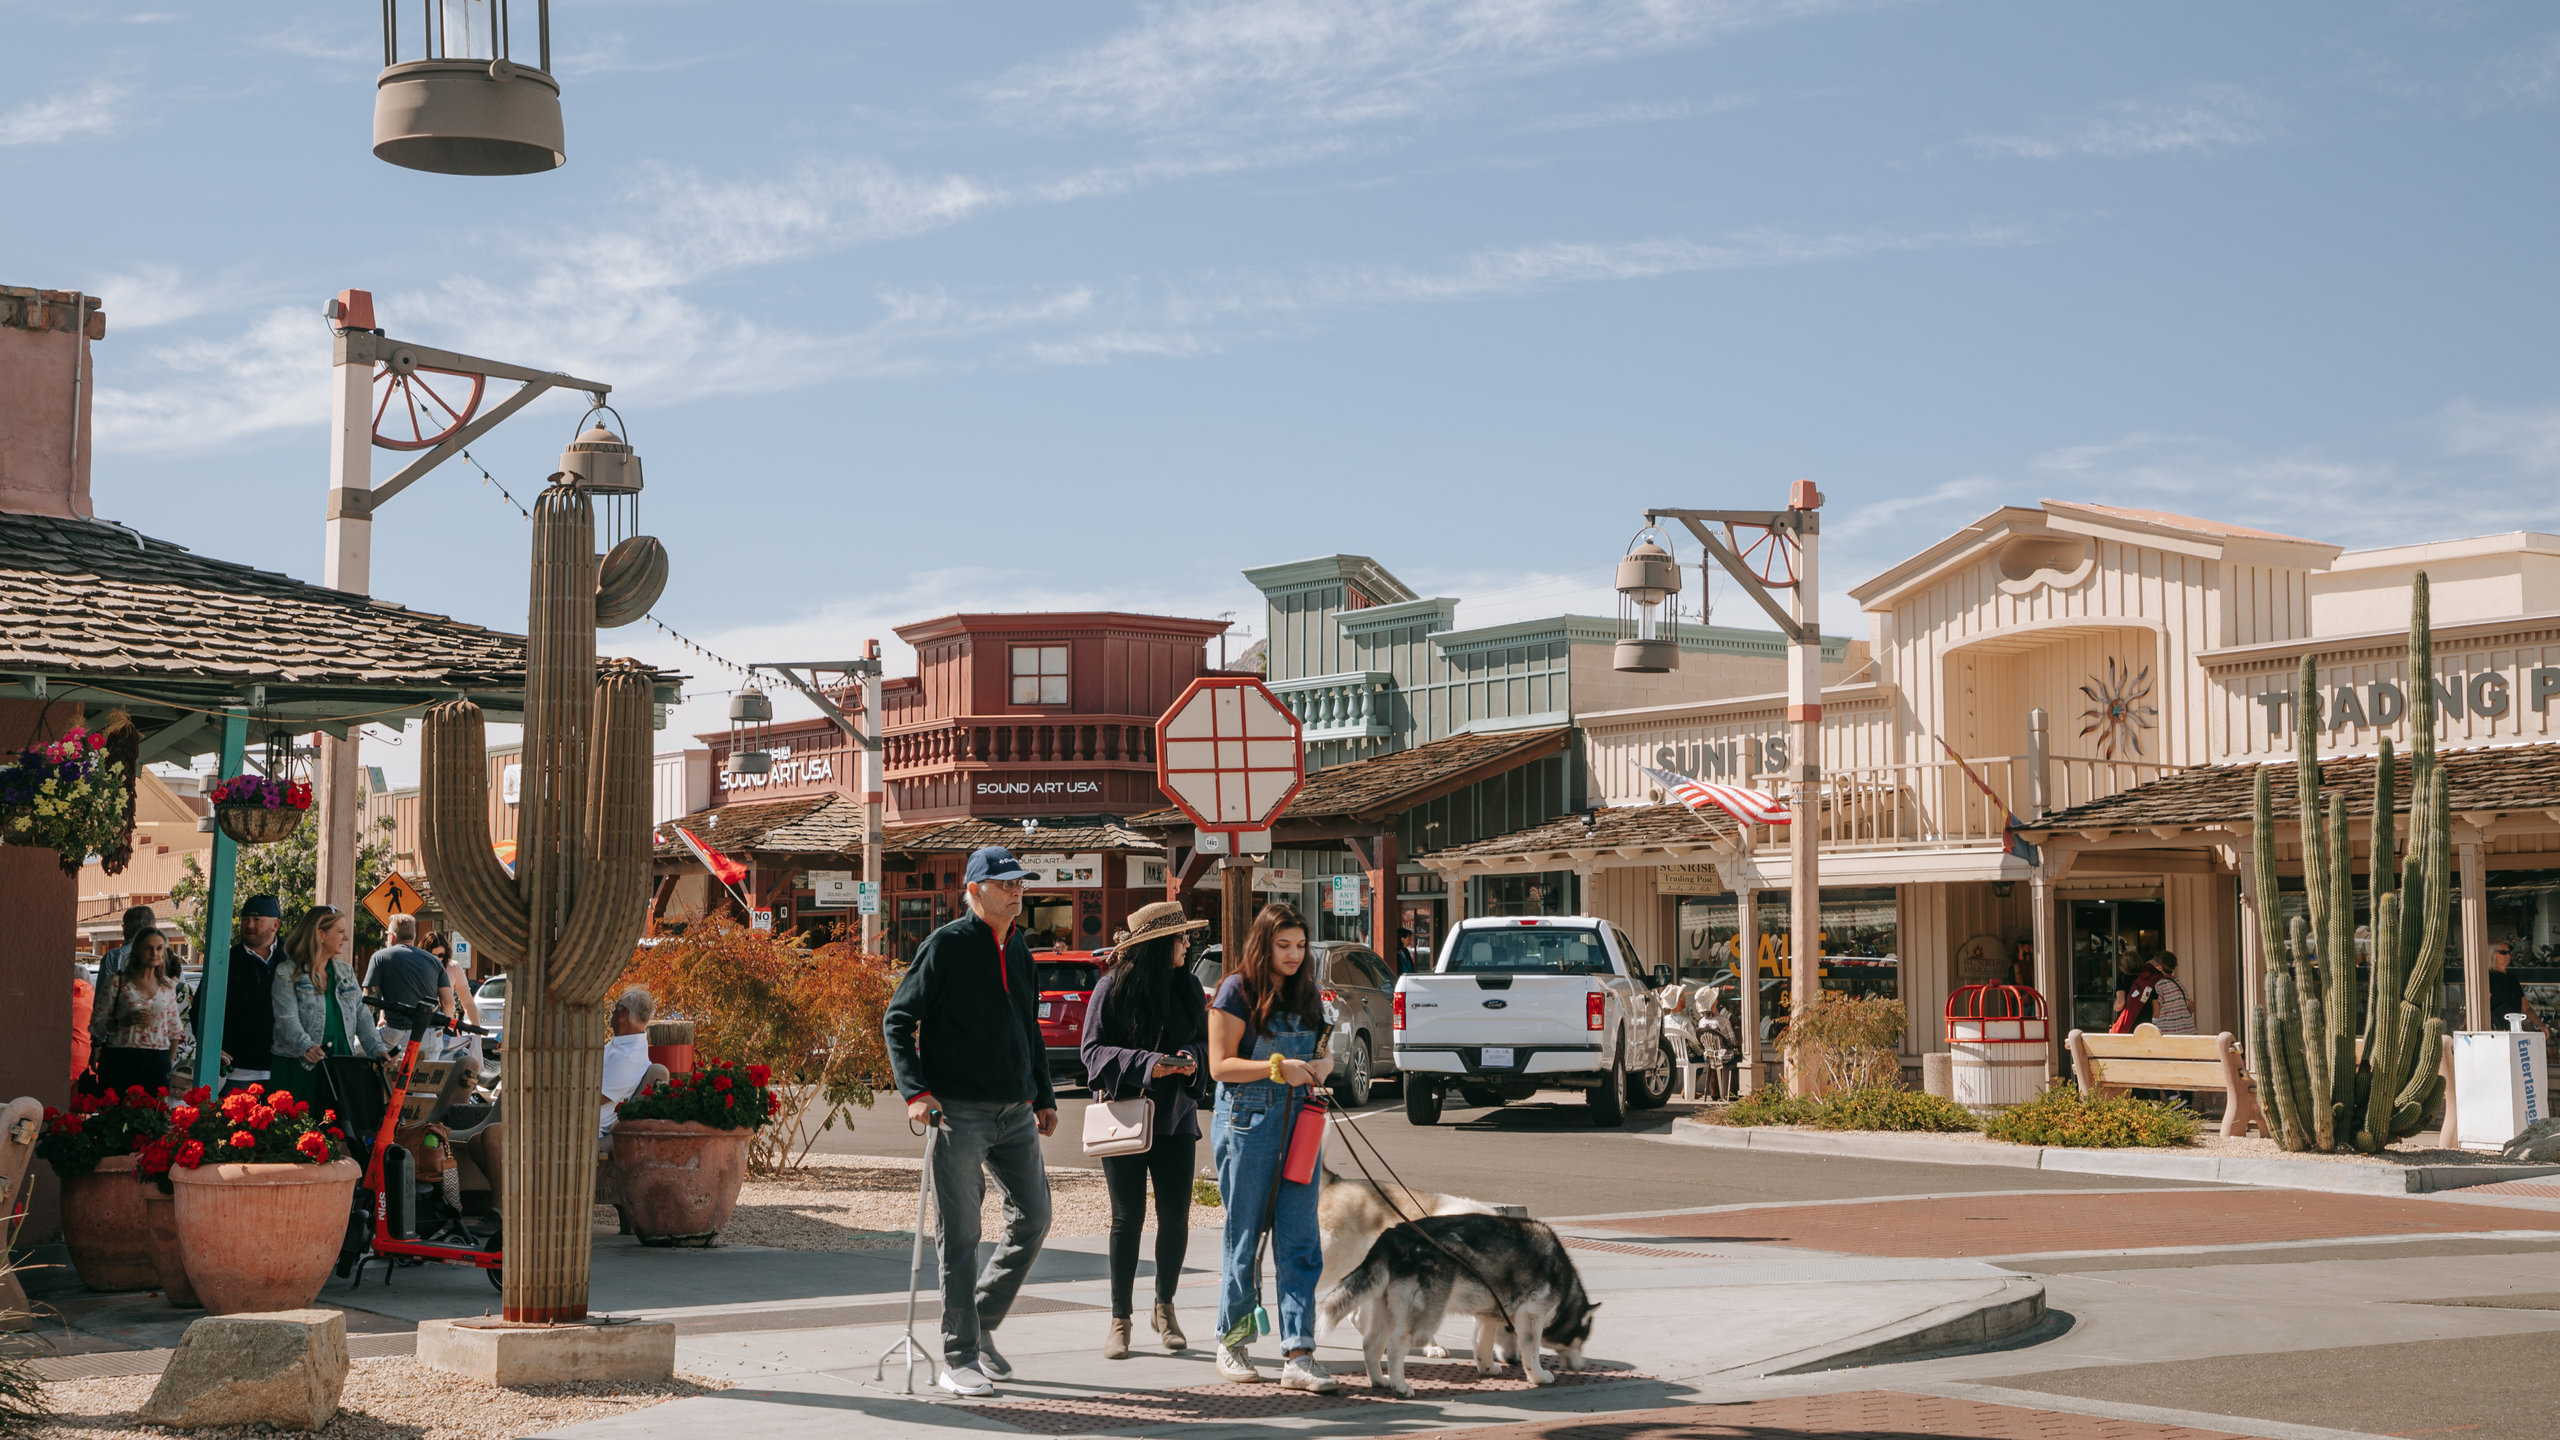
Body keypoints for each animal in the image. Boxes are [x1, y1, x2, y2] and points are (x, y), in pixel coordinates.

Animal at [1320, 1204, 1597, 1393]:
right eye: (1580, 1340)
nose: (1581, 1367)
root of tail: (1394, 1235)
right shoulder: (1531, 1316)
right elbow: (1532, 1352)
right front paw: (1538, 1376)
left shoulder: (1488, 1316)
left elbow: (1483, 1345)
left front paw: (1488, 1368)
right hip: (1422, 1322)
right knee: (1396, 1344)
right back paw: (1400, 1386)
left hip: (1386, 1310)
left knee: (1371, 1343)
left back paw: (1380, 1381)